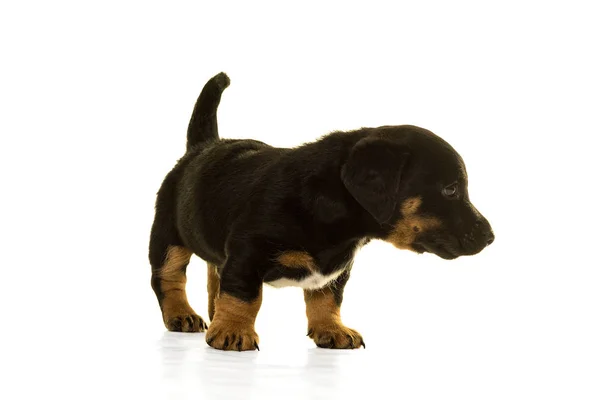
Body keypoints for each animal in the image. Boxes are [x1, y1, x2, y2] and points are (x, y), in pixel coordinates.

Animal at [149, 73, 492, 352]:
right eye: (451, 190)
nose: (490, 237)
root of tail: (201, 147)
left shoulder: (337, 269)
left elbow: (327, 300)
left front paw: (332, 330)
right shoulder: (247, 254)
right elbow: (244, 296)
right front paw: (233, 331)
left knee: (214, 275)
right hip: (168, 236)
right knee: (169, 276)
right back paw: (182, 314)